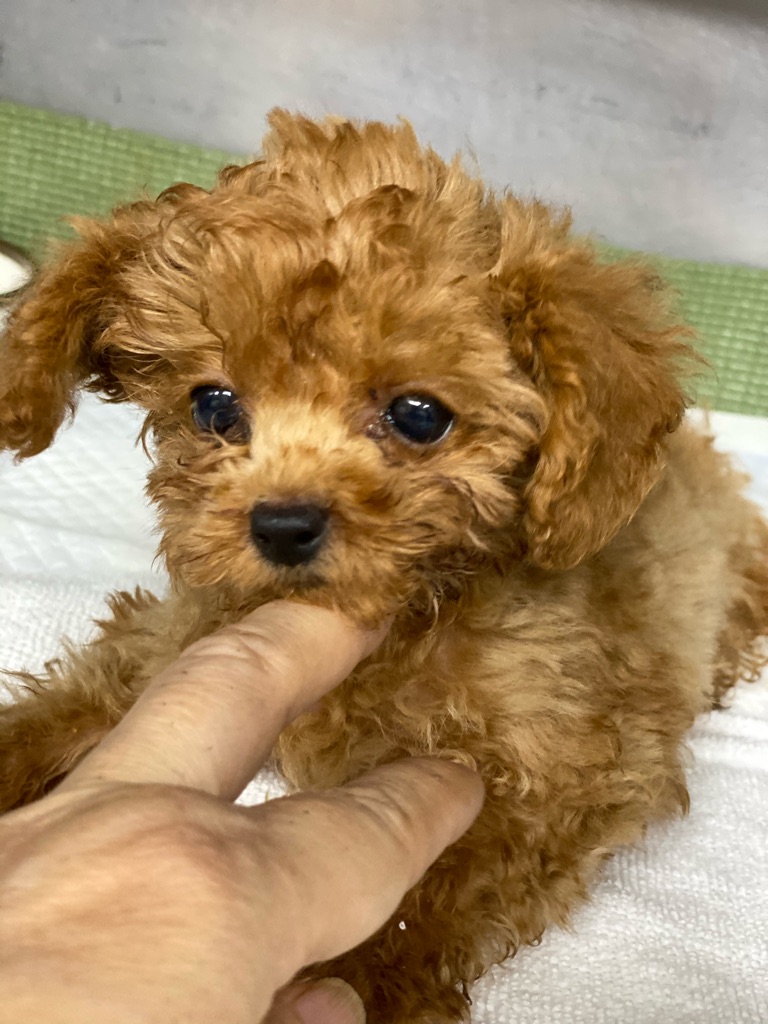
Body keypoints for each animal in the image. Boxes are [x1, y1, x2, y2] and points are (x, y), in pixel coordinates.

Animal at [1, 110, 767, 1023]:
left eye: (419, 416)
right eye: (214, 406)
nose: (281, 525)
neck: (404, 616)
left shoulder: (572, 769)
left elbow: (427, 893)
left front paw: (354, 985)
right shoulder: (175, 636)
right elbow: (69, 702)